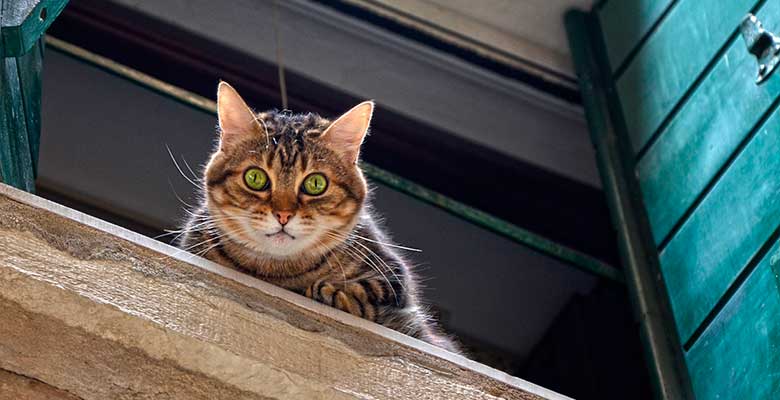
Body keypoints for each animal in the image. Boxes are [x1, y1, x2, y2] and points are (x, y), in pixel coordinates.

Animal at [180, 81, 460, 354]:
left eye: (316, 183)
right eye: (255, 178)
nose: (283, 214)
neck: (277, 274)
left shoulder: (393, 275)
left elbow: (369, 291)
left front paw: (334, 293)